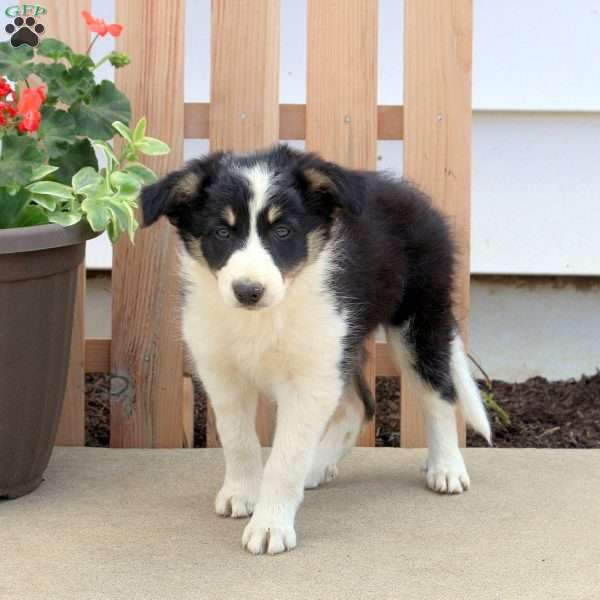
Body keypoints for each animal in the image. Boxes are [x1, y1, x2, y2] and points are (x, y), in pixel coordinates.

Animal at [142, 143, 492, 556]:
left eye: (283, 231)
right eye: (221, 232)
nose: (248, 291)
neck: (262, 318)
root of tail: (414, 197)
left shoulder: (309, 379)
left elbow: (286, 457)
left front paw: (270, 525)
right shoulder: (223, 372)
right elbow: (238, 439)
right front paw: (242, 493)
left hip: (417, 320)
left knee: (437, 394)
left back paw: (446, 468)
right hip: (339, 340)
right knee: (360, 405)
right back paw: (317, 467)